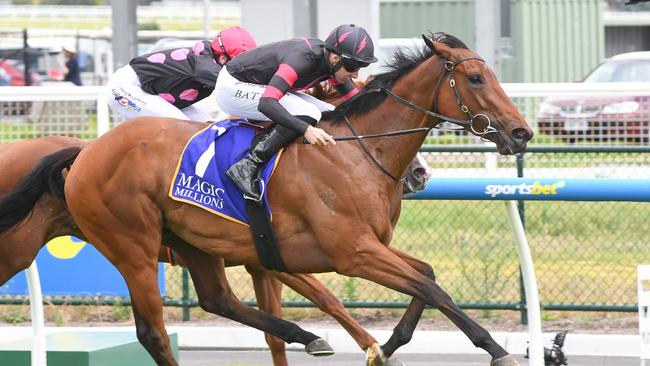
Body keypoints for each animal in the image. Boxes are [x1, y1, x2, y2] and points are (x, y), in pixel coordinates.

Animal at [1, 136, 430, 364]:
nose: (420, 173)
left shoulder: (265, 262)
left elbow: (286, 324)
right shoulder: (280, 257)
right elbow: (329, 298)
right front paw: (373, 346)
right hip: (36, 249)